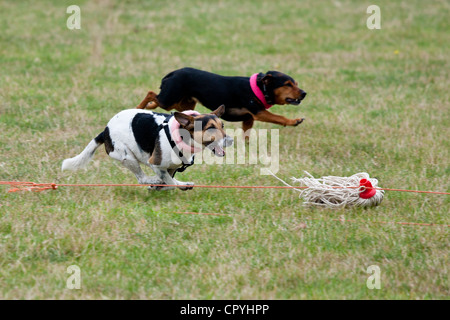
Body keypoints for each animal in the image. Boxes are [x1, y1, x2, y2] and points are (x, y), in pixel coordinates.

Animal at [61, 105, 232, 190]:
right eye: (210, 128)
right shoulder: (155, 164)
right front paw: (173, 184)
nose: (230, 140)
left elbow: (168, 180)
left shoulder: (172, 167)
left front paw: (162, 185)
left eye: (222, 125)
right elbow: (170, 182)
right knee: (141, 178)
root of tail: (105, 131)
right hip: (127, 157)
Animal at [137, 67, 306, 132]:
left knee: (157, 100)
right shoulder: (259, 112)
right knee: (151, 93)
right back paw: (140, 107)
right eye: (287, 84)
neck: (259, 88)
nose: (304, 93)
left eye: (296, 84)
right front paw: (294, 121)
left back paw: (148, 106)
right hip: (169, 99)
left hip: (183, 103)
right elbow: (279, 117)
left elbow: (246, 136)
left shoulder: (248, 119)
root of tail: (173, 73)